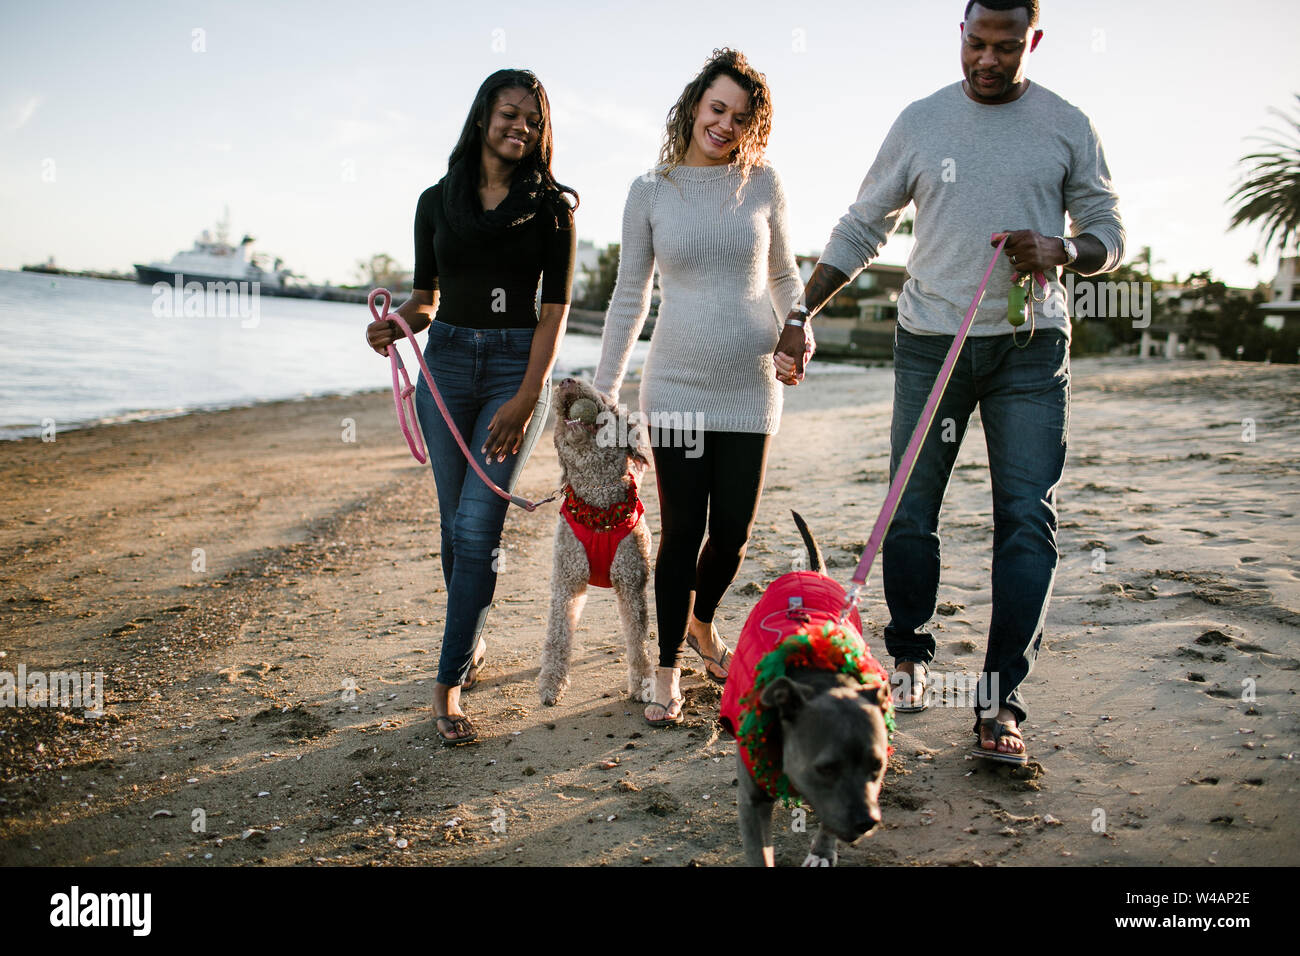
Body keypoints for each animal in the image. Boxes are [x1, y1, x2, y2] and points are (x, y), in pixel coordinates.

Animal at [538, 377, 655, 707]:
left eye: (606, 399)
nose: (566, 380)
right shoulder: (565, 582)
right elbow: (557, 636)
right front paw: (551, 683)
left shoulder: (631, 581)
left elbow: (638, 640)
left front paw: (643, 684)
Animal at [733, 515, 894, 868]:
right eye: (826, 768)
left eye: (877, 766)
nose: (867, 821)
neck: (819, 678)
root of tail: (812, 573)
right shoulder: (752, 801)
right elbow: (759, 854)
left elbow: (829, 819)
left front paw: (822, 851)